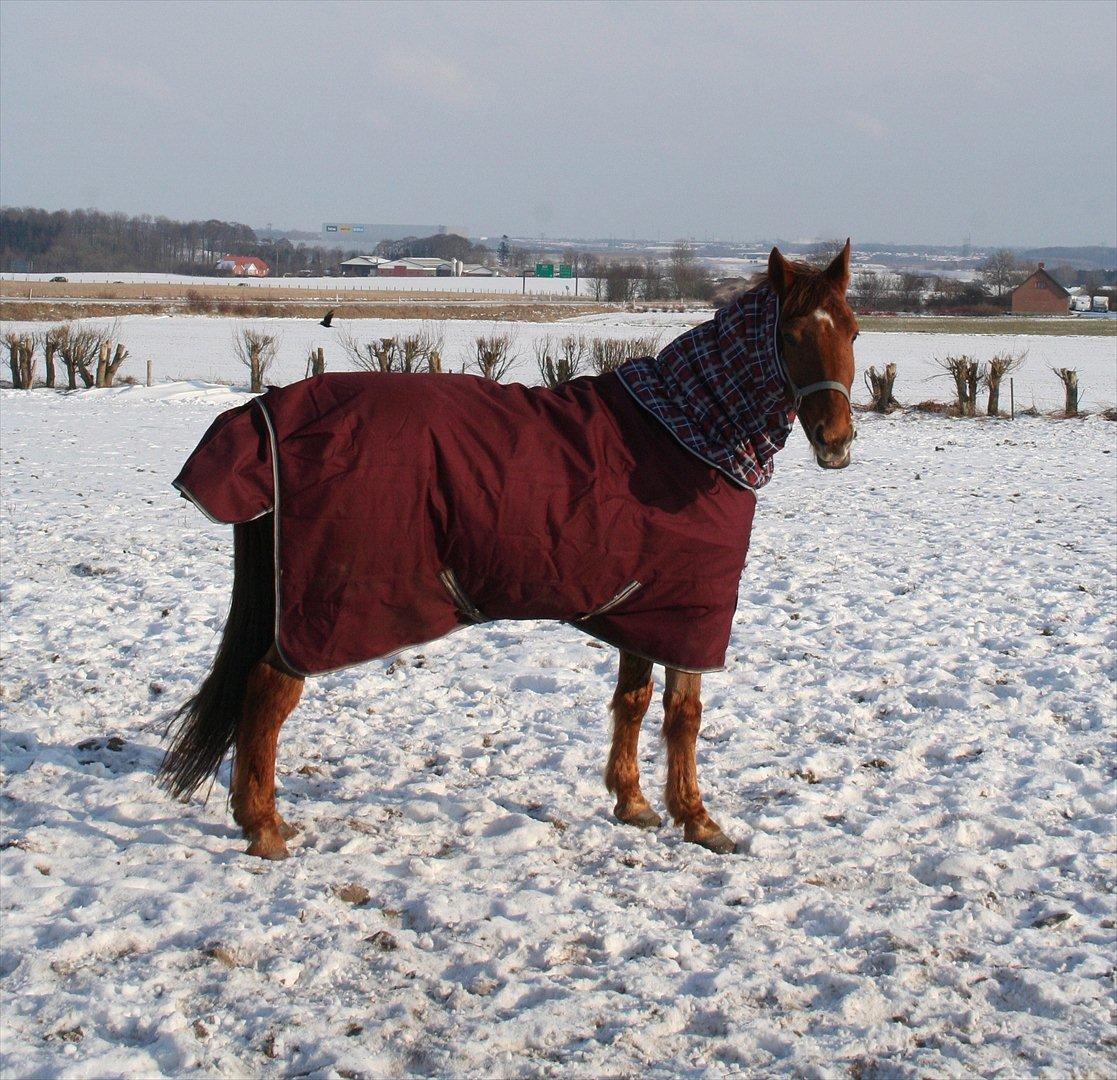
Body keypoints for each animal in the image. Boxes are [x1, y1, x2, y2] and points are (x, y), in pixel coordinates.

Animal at [159, 242, 853, 862]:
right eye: (791, 334)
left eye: (849, 330)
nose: (837, 442)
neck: (689, 434)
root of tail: (265, 408)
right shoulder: (690, 613)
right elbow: (685, 715)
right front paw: (700, 821)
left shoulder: (642, 608)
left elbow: (633, 700)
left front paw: (632, 804)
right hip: (322, 611)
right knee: (267, 692)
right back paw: (264, 827)